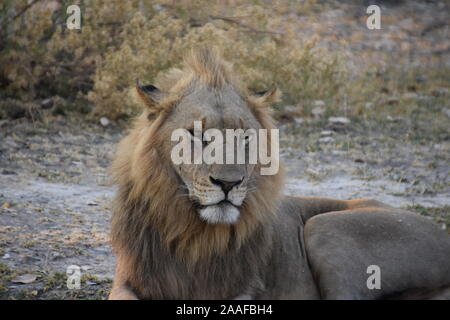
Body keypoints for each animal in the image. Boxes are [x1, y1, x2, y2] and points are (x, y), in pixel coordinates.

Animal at [108, 47, 450, 300]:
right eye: (196, 134)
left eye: (245, 137)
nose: (229, 183)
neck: (193, 232)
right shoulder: (127, 280)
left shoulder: (244, 289)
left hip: (326, 230)